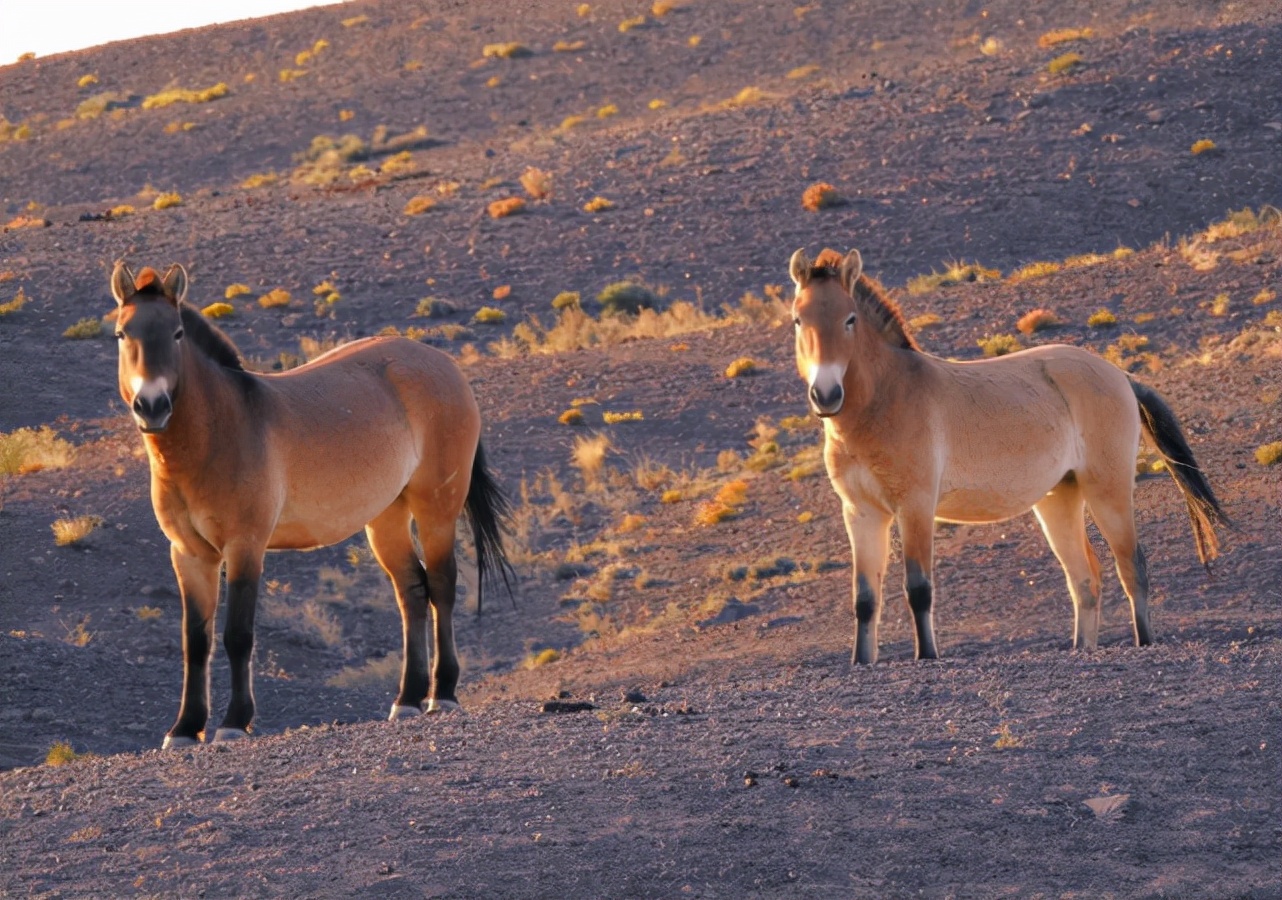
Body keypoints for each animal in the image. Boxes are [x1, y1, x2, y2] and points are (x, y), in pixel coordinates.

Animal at [109, 262, 512, 748]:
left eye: (177, 333)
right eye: (122, 333)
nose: (151, 406)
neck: (221, 431)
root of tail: (444, 364)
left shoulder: (245, 547)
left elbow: (237, 635)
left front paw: (233, 722)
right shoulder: (189, 555)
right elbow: (195, 641)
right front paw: (185, 728)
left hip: (436, 507)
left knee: (441, 585)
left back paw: (443, 695)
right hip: (386, 517)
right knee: (412, 590)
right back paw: (408, 700)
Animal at [789, 247, 1229, 663]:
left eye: (849, 319)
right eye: (798, 320)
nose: (826, 395)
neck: (885, 398)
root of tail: (1119, 375)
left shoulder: (915, 507)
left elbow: (919, 588)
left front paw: (927, 656)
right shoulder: (862, 513)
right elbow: (865, 599)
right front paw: (862, 661)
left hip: (1110, 492)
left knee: (1132, 568)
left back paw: (1144, 642)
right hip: (1058, 500)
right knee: (1084, 579)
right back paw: (1081, 648)